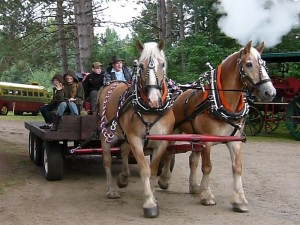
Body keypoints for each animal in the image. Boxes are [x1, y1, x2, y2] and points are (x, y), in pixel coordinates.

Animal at [97, 39, 175, 217]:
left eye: (162, 64)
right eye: (141, 65)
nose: (154, 99)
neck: (151, 110)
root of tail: (112, 83)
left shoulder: (162, 141)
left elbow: (153, 170)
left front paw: (153, 197)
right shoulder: (135, 138)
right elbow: (144, 170)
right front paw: (149, 203)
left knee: (124, 150)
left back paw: (123, 177)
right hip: (107, 135)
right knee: (107, 161)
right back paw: (111, 190)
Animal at [157, 40, 276, 213]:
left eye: (264, 64)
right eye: (249, 64)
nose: (270, 93)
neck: (221, 103)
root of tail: (175, 94)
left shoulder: (235, 142)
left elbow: (237, 167)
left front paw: (240, 200)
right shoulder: (206, 141)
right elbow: (207, 167)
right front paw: (207, 196)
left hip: (195, 136)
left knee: (192, 159)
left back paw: (194, 186)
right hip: (174, 131)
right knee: (168, 152)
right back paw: (164, 180)